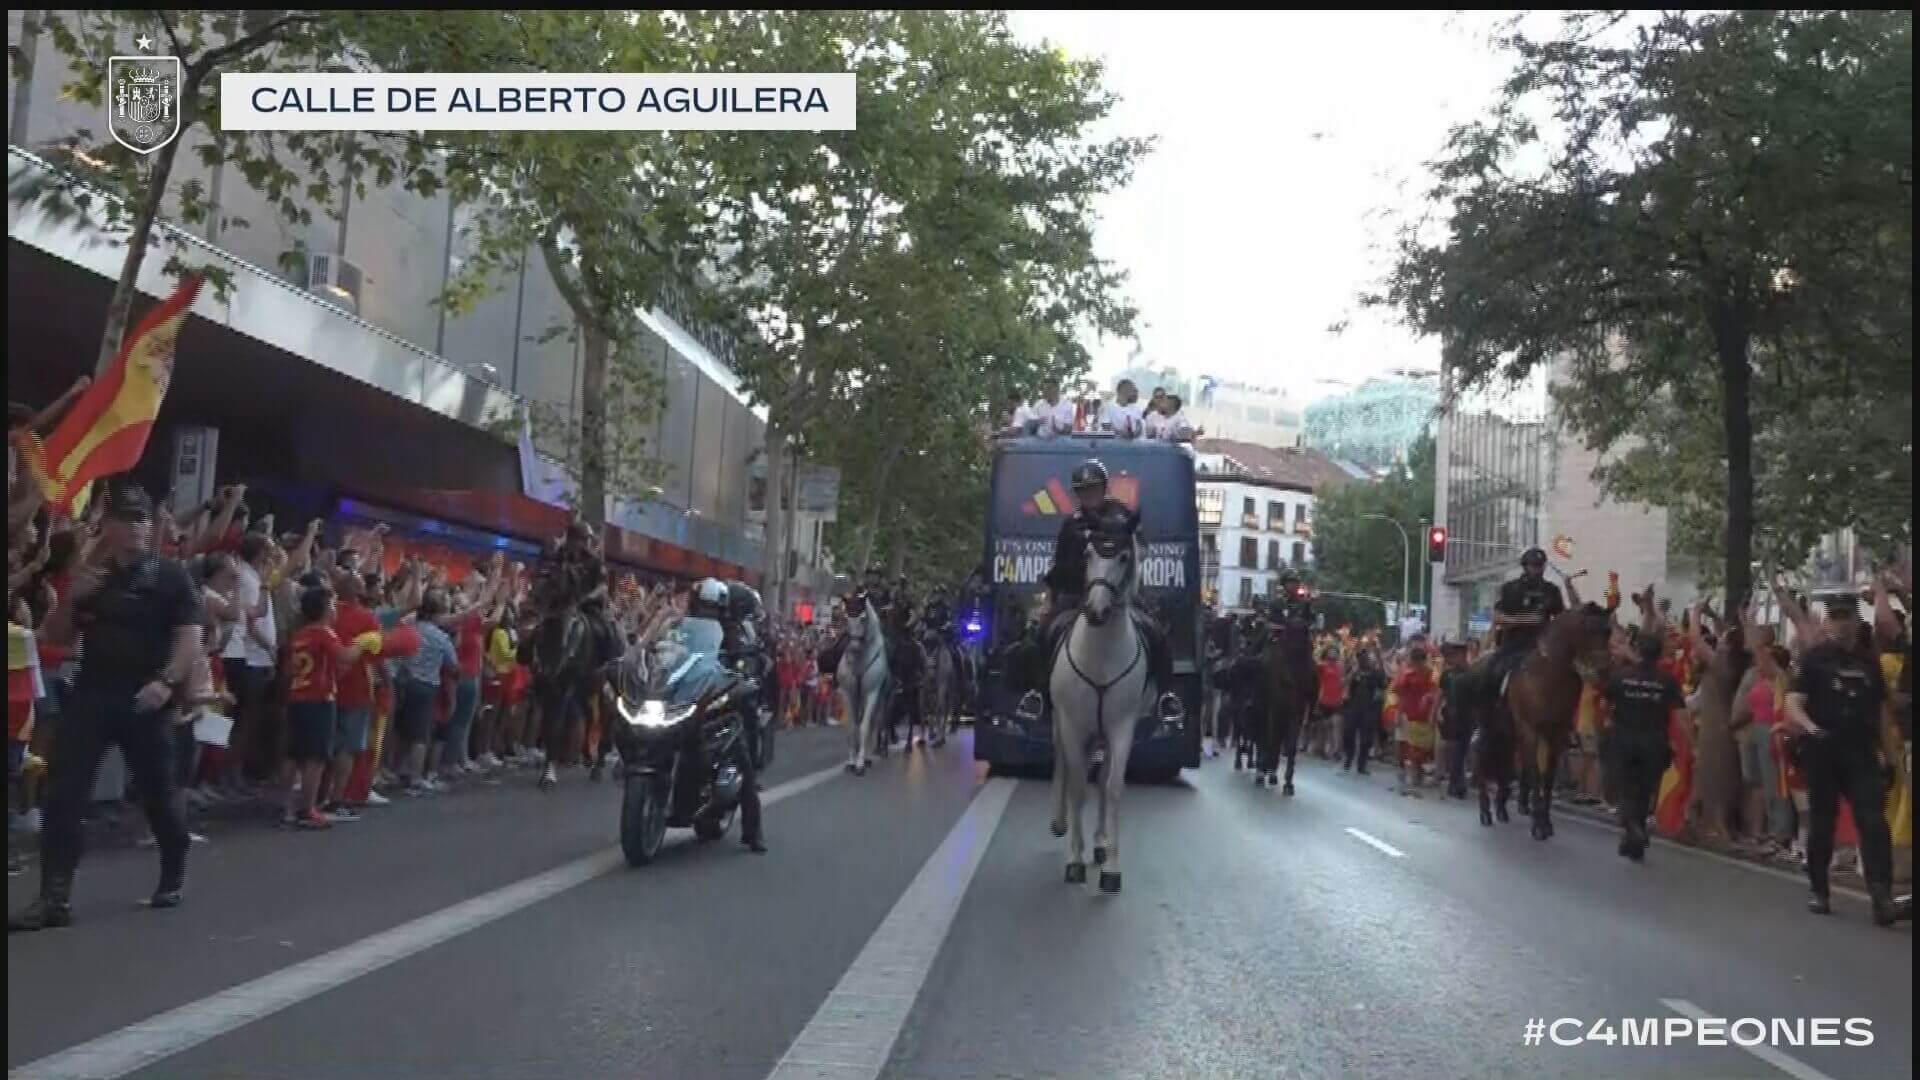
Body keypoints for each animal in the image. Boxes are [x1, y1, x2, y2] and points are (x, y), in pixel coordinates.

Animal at [840, 595, 890, 772]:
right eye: (846, 618)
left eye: (862, 618)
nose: (854, 646)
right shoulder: (848, 693)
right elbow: (851, 727)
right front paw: (851, 761)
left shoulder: (872, 692)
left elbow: (864, 726)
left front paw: (860, 763)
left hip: (880, 698)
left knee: (875, 723)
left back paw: (868, 757)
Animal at [1044, 526, 1144, 887]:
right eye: (1088, 553)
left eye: (1124, 556)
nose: (1097, 611)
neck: (1101, 652)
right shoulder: (1072, 724)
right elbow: (1076, 787)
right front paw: (1074, 858)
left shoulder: (1122, 727)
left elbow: (1111, 787)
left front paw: (1111, 866)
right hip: (1064, 724)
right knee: (1063, 763)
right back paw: (1060, 823)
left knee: (1100, 779)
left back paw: (1099, 843)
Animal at [1497, 599, 1605, 837]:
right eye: (1589, 629)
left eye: (1607, 631)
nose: (1601, 670)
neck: (1550, 672)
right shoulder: (1530, 730)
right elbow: (1536, 772)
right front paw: (1538, 823)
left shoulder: (1557, 734)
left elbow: (1547, 775)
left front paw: (1544, 821)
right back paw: (1501, 806)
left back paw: (1522, 803)